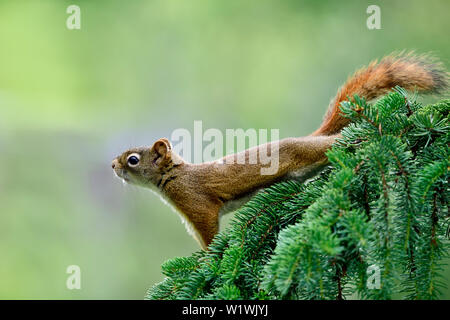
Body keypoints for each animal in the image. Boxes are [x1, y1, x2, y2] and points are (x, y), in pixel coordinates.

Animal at [111, 52, 446, 249]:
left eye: (133, 160)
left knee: (335, 142)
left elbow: (209, 233)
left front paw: (208, 258)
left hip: (312, 151)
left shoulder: (196, 203)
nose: (112, 166)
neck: (174, 176)